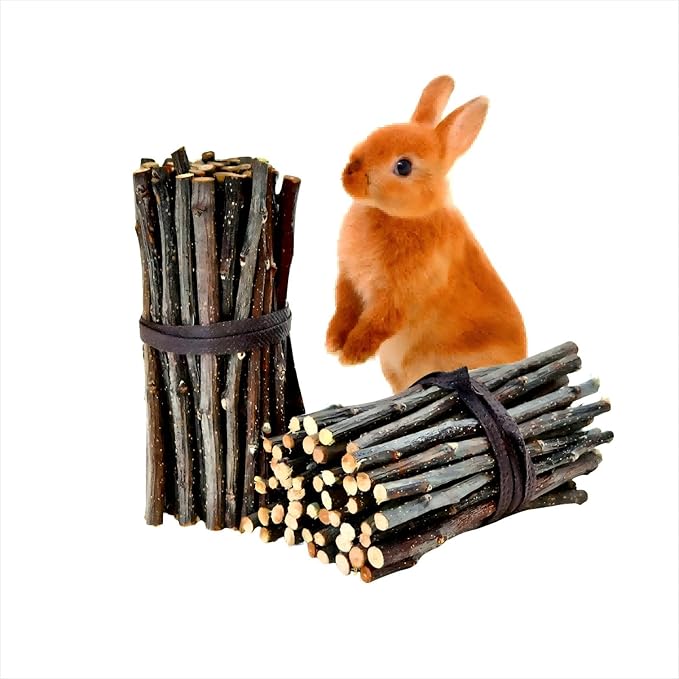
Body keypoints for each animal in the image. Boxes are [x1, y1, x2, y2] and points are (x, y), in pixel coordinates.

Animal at [325, 75, 527, 393]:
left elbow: (376, 323)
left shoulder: (397, 297)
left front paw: (351, 354)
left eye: (403, 166)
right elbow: (344, 308)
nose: (350, 174)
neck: (404, 216)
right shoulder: (349, 280)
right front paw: (332, 342)